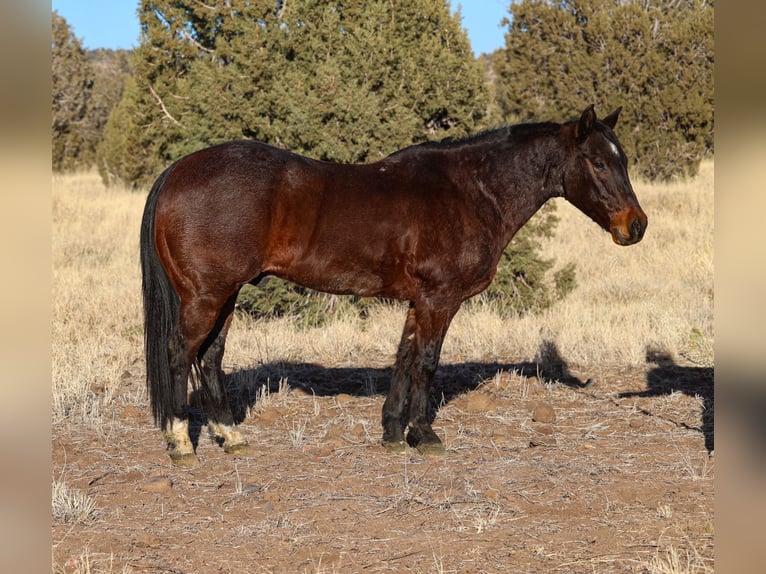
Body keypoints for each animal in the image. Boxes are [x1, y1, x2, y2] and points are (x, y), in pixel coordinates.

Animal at [140, 106, 648, 470]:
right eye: (598, 162)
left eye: (623, 159)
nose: (636, 226)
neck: (471, 191)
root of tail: (176, 172)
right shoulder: (440, 300)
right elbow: (426, 363)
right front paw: (424, 434)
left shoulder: (417, 302)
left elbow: (404, 360)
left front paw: (392, 434)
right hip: (206, 296)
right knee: (179, 354)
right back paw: (181, 442)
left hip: (226, 296)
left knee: (209, 357)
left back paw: (231, 437)